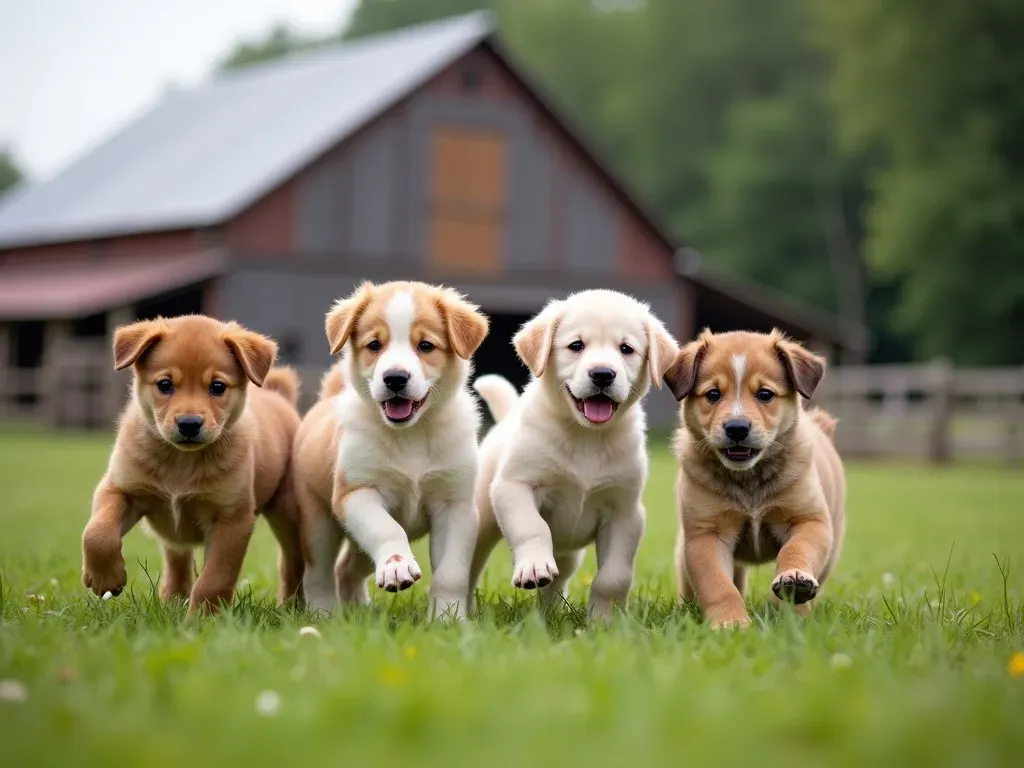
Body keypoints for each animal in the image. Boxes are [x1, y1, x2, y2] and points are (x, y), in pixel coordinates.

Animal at [79, 315, 303, 618]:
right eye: (165, 384)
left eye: (217, 387)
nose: (189, 424)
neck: (181, 462)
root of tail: (279, 396)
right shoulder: (120, 489)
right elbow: (97, 532)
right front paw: (106, 577)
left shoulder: (232, 520)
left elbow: (215, 579)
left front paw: (202, 619)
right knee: (177, 558)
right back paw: (172, 599)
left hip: (287, 514)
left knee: (293, 564)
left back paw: (292, 608)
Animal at [294, 280, 489, 622]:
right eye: (375, 345)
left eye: (425, 345)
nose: (395, 378)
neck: (411, 435)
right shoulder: (356, 493)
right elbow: (387, 529)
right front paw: (398, 568)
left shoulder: (456, 505)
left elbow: (451, 572)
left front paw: (448, 619)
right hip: (317, 523)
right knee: (318, 574)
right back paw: (325, 616)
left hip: (356, 545)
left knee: (347, 568)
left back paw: (359, 610)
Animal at [471, 290, 679, 622]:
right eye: (576, 345)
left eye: (626, 349)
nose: (603, 374)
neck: (586, 438)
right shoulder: (515, 485)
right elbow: (532, 528)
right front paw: (533, 566)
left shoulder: (624, 511)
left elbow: (614, 576)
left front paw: (603, 621)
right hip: (482, 522)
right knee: (470, 567)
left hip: (567, 551)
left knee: (558, 579)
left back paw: (550, 614)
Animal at [663, 327, 847, 626]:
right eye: (713, 394)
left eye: (764, 394)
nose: (737, 428)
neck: (749, 481)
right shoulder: (706, 535)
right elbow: (718, 585)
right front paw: (731, 623)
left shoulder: (809, 520)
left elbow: (796, 550)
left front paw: (794, 582)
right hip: (685, 552)